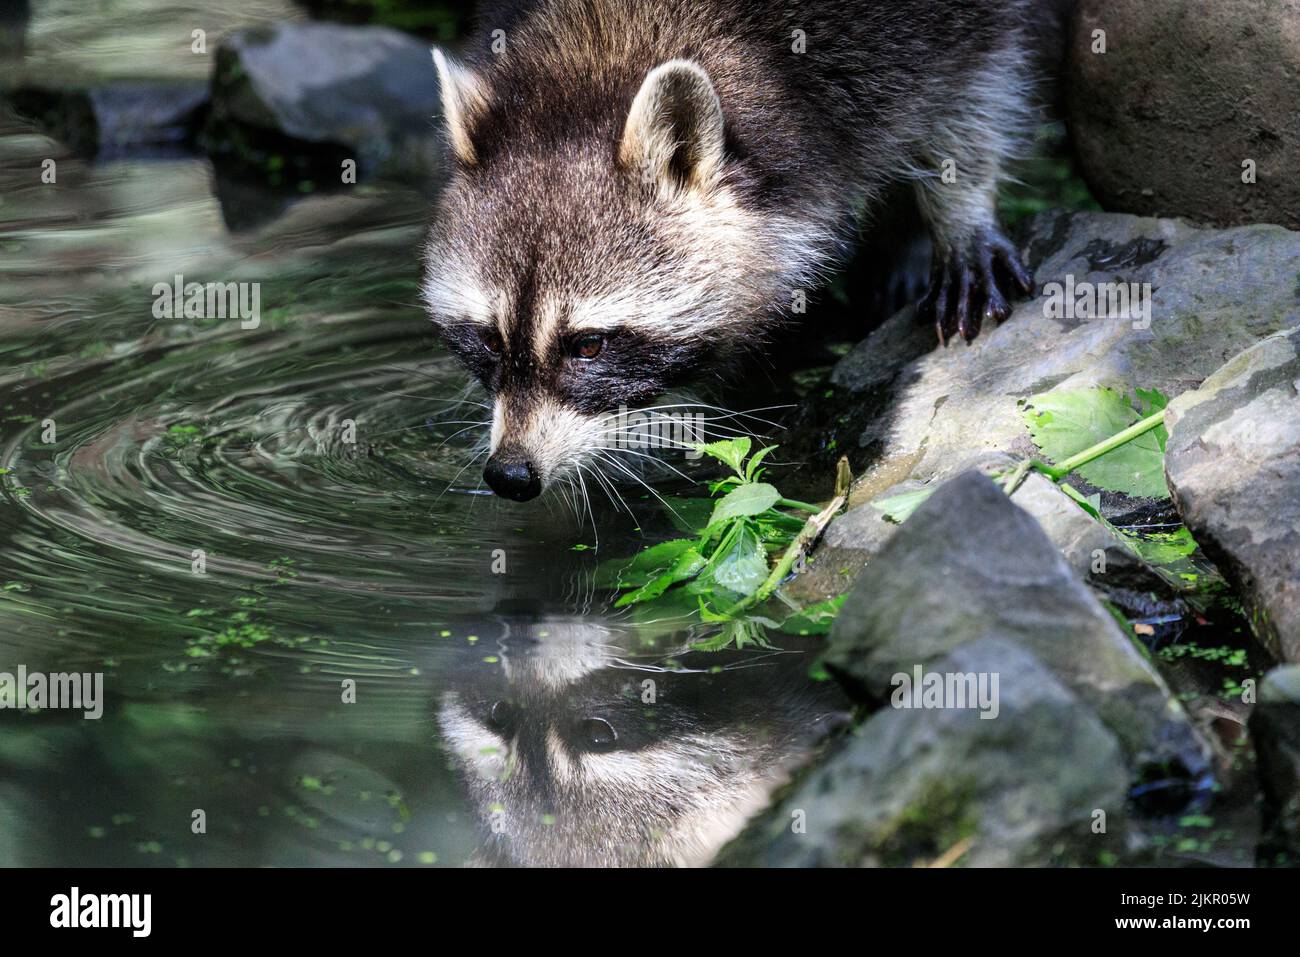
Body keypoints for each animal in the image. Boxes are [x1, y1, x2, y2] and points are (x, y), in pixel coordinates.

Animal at [422, 0, 1036, 501]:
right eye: (489, 340)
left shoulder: (909, 26)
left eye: (588, 345)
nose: (511, 475)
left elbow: (978, 80)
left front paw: (961, 210)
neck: (597, 52)